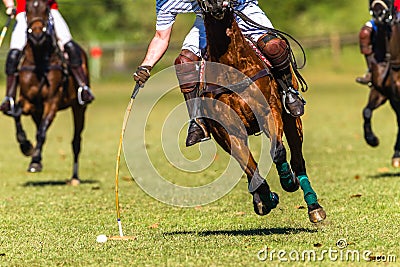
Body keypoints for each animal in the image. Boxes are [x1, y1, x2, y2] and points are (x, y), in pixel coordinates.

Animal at [11, 0, 89, 184]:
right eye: (27, 10)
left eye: (46, 9)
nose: (37, 36)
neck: (40, 61)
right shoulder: (27, 101)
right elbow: (16, 114)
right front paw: (27, 147)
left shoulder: (51, 102)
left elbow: (42, 132)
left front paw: (35, 160)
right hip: (36, 110)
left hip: (79, 108)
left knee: (76, 141)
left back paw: (74, 177)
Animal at [195, 0, 326, 224]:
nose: (215, 4)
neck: (231, 66)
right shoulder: (227, 131)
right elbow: (251, 169)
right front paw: (266, 198)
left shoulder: (269, 111)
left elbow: (278, 151)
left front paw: (288, 181)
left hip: (292, 120)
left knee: (297, 159)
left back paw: (313, 206)